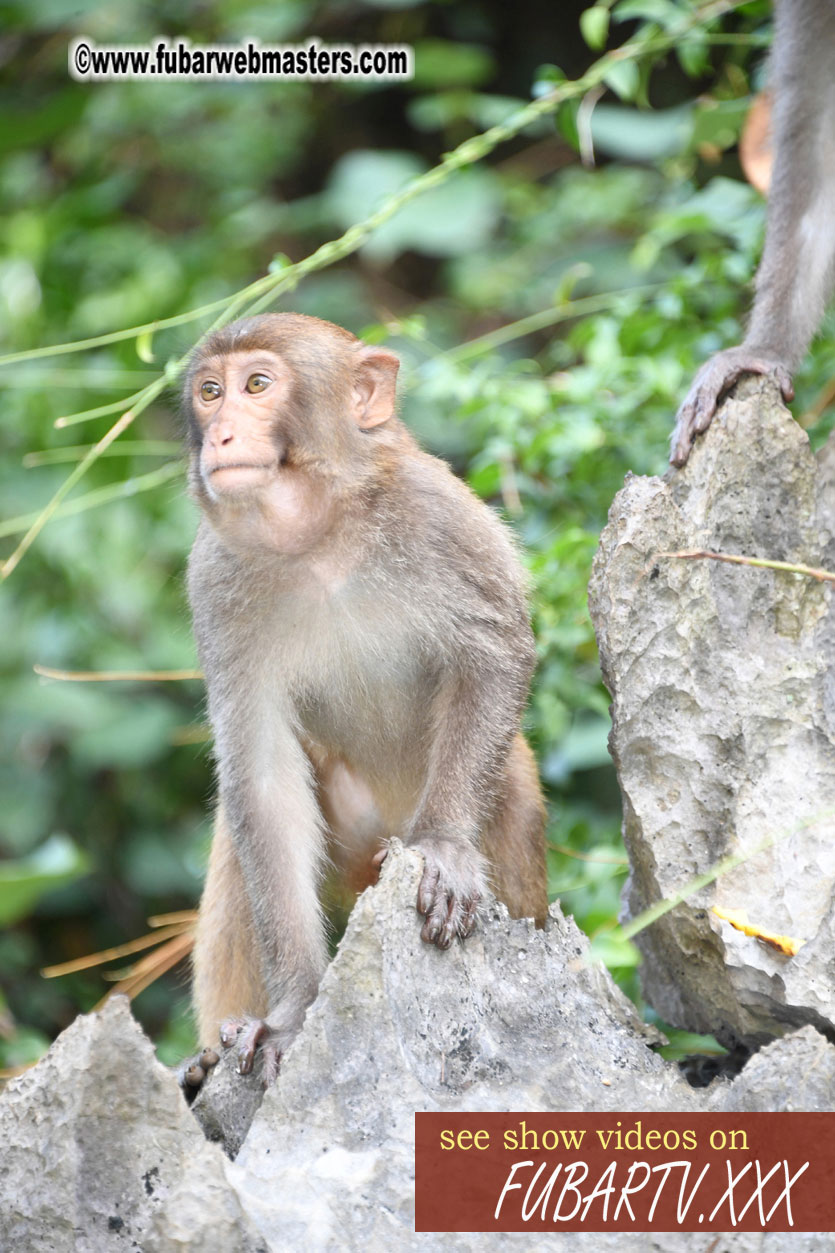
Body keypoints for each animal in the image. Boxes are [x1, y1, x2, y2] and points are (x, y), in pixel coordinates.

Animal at [181, 308, 546, 1082]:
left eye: (258, 385)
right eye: (209, 391)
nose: (221, 433)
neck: (318, 535)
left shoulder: (438, 516)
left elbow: (494, 657)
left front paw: (442, 845)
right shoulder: (214, 579)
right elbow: (261, 780)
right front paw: (293, 1013)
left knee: (512, 800)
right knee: (239, 835)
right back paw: (208, 1056)